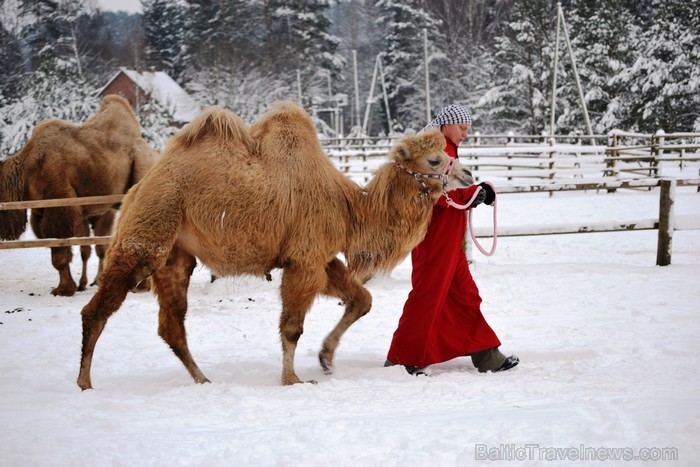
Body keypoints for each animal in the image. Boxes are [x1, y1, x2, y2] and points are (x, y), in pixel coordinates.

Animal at [0, 95, 159, 296]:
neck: (27, 169)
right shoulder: (42, 211)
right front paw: (77, 285)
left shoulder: (60, 202)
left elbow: (60, 251)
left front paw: (63, 289)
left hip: (142, 169)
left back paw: (141, 286)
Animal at [76, 102, 474, 392]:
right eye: (435, 159)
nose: (468, 173)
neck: (349, 208)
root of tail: (137, 188)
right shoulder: (305, 259)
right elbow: (292, 327)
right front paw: (293, 379)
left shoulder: (320, 257)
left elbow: (362, 300)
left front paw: (326, 358)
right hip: (149, 231)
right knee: (98, 309)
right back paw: (84, 382)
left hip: (176, 255)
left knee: (171, 324)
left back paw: (202, 379)